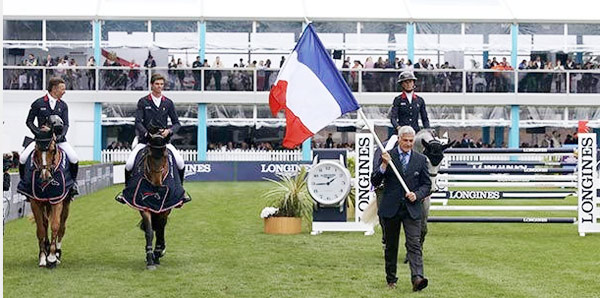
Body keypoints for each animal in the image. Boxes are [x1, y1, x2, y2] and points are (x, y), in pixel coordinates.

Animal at [17, 129, 75, 268]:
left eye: (53, 150)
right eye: (36, 149)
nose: (45, 177)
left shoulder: (57, 200)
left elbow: (55, 226)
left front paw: (52, 257)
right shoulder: (35, 202)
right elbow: (41, 230)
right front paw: (43, 257)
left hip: (65, 205)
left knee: (62, 227)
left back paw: (57, 253)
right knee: (45, 223)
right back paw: (46, 248)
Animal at [119, 131, 188, 270]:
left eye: (165, 156)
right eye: (149, 155)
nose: (157, 184)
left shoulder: (165, 208)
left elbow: (160, 230)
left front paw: (157, 254)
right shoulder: (143, 206)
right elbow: (149, 232)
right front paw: (150, 258)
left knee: (162, 228)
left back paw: (160, 250)